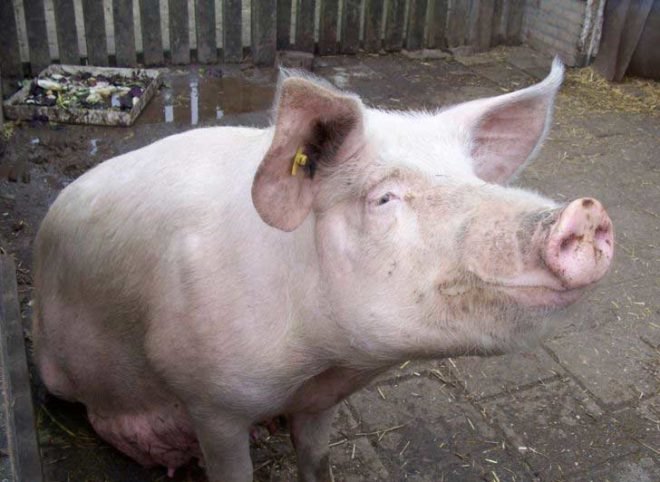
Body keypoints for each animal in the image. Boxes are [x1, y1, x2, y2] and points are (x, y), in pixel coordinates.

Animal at [32, 59, 613, 482]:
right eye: (383, 197)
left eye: (474, 177)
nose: (586, 212)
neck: (318, 360)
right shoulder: (211, 401)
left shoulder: (320, 402)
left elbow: (317, 459)